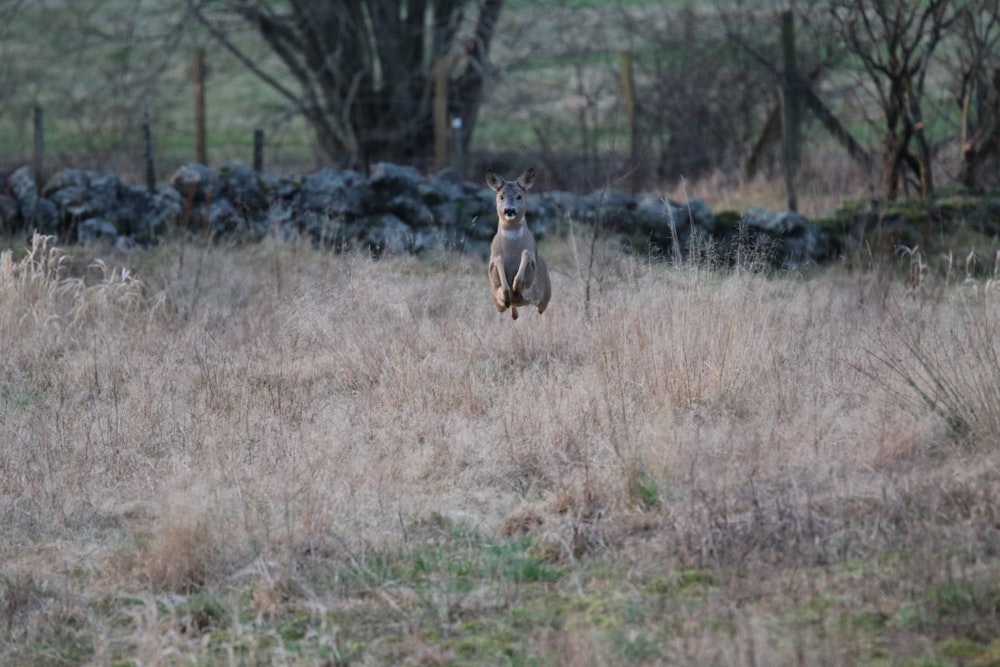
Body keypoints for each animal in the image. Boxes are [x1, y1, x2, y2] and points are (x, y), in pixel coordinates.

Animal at [486, 170, 552, 320]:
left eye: (519, 196)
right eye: (501, 196)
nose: (509, 210)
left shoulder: (531, 275)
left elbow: (526, 252)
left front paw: (516, 288)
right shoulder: (494, 278)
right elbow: (498, 260)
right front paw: (509, 294)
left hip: (546, 296)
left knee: (540, 308)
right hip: (496, 303)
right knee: (510, 309)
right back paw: (513, 312)